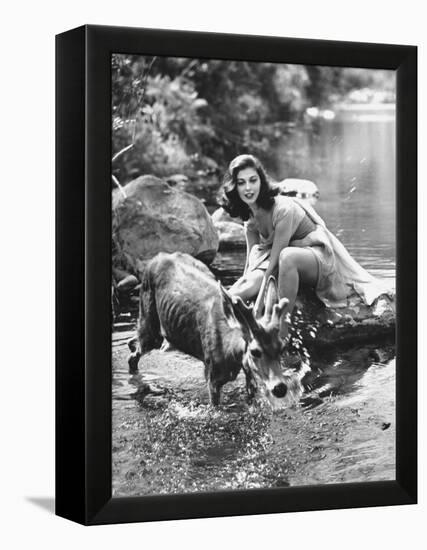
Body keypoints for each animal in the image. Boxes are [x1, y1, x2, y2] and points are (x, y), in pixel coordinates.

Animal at [132, 253, 290, 406]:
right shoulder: (213, 376)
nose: (280, 388)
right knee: (133, 355)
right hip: (149, 324)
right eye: (255, 351)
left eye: (282, 348)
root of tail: (156, 258)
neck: (231, 349)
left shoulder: (249, 374)